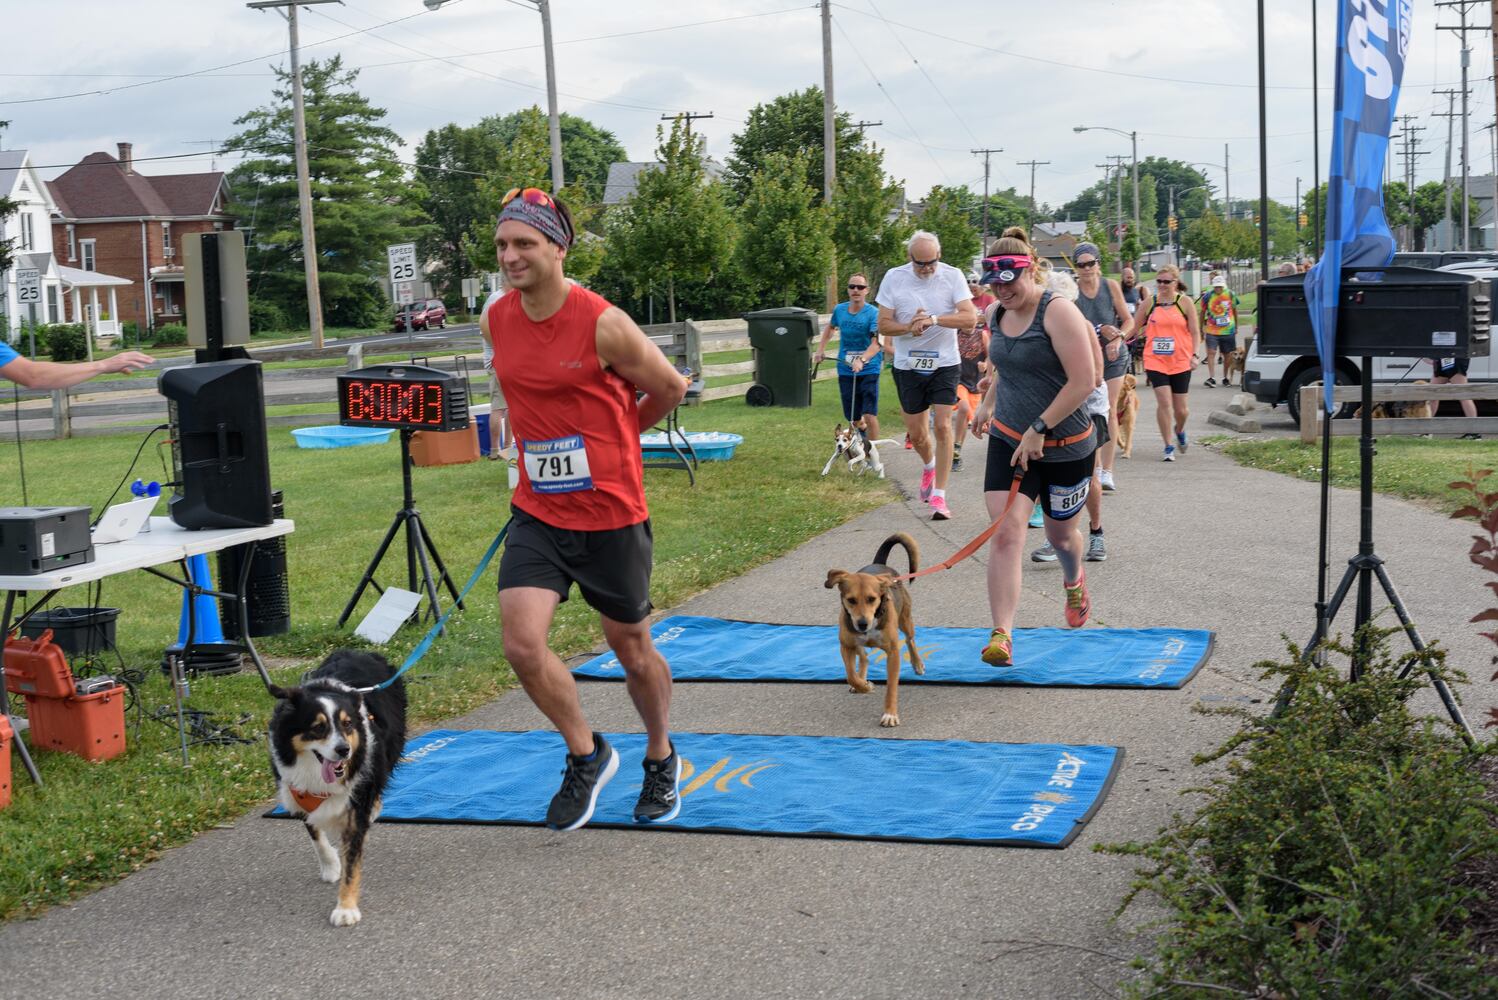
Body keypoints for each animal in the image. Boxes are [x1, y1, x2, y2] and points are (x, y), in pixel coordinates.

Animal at [263, 652, 404, 928]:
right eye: (318, 727)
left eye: (347, 725)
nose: (343, 750)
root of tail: (365, 652)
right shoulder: (297, 791)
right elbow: (316, 836)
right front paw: (330, 867)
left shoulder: (356, 805)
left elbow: (352, 864)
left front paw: (346, 908)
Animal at [826, 529, 916, 727]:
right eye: (851, 600)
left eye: (872, 599)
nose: (862, 624)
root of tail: (879, 564)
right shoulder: (846, 645)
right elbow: (850, 674)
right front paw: (863, 686)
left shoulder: (893, 653)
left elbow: (891, 686)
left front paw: (890, 714)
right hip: (855, 641)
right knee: (864, 657)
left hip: (905, 619)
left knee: (910, 639)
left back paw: (918, 665)